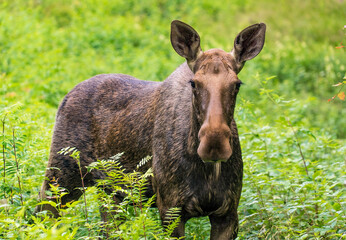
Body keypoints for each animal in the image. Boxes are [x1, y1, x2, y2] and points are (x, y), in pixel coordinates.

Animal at [38, 20, 264, 238]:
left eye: (237, 84)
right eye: (194, 83)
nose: (214, 144)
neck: (207, 171)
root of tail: (65, 98)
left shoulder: (228, 213)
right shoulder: (170, 210)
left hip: (109, 192)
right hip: (61, 177)